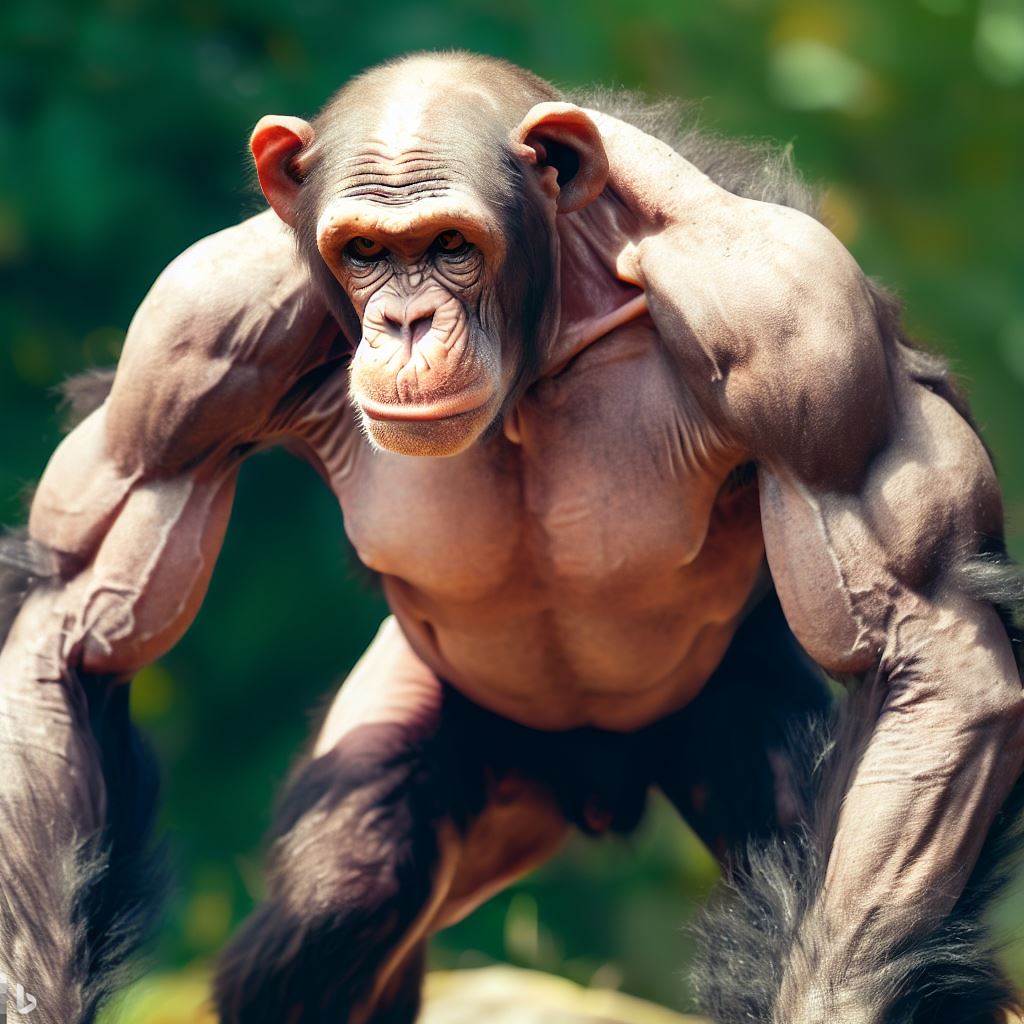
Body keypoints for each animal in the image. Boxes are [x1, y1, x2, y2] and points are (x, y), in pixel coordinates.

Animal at [1, 49, 1023, 1024]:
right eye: (364, 251)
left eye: (452, 245)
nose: (407, 320)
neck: (546, 333)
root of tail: (597, 782)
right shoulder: (187, 339)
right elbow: (76, 623)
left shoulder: (801, 326)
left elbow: (924, 641)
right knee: (341, 894)